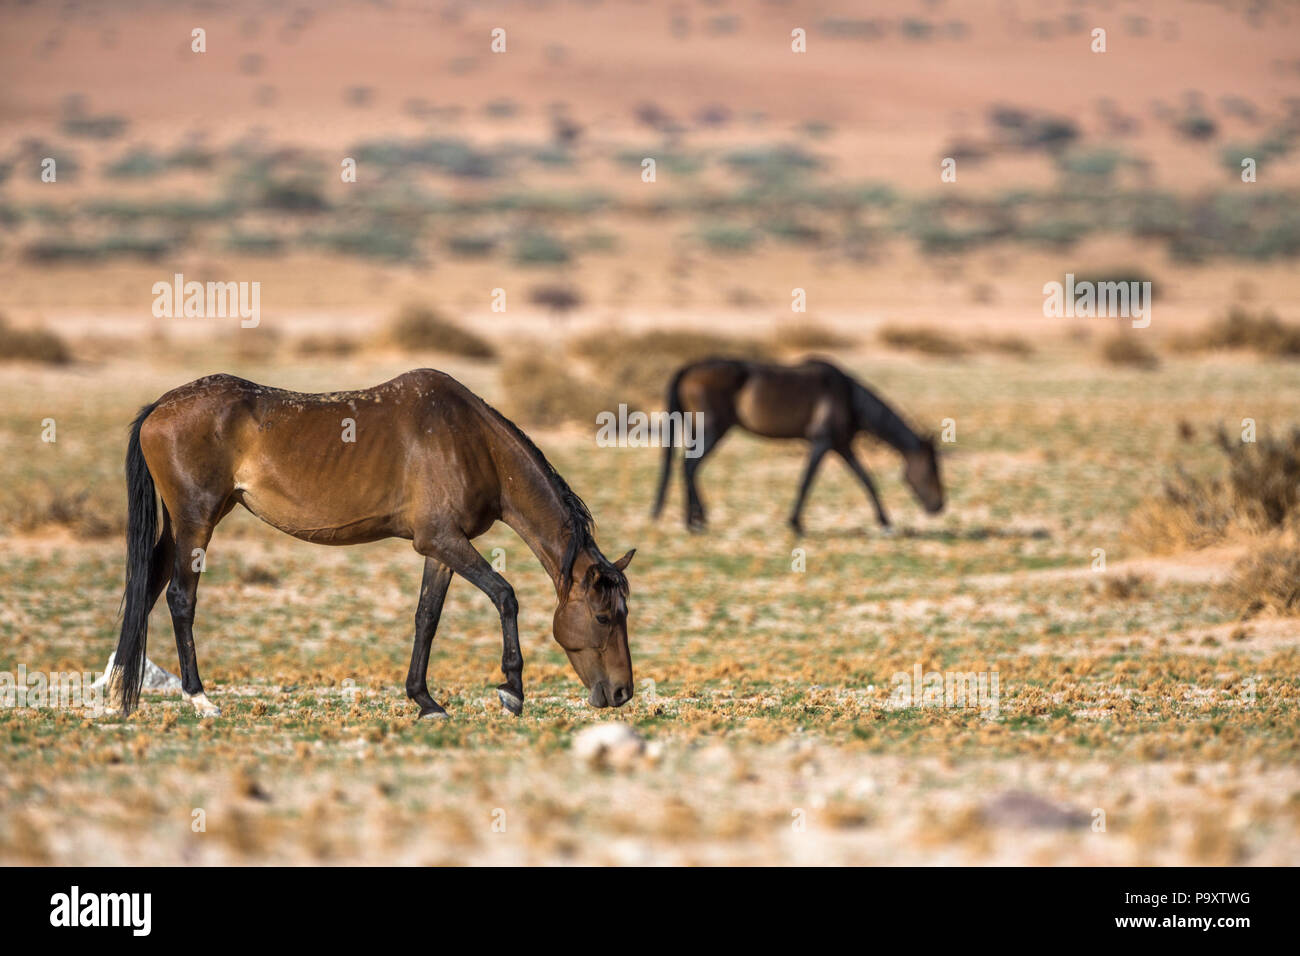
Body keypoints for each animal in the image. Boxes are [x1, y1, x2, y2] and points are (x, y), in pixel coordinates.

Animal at [114, 369, 631, 723]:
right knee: (180, 598)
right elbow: (505, 596)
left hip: (185, 524)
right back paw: (199, 698)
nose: (623, 693)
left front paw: (425, 700)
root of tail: (159, 406)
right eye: (604, 617)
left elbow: (427, 618)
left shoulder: (440, 549)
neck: (473, 442)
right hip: (196, 522)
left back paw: (118, 689)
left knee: (147, 586)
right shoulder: (444, 540)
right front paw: (512, 691)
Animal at [650, 358, 946, 535]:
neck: (849, 397)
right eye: (932, 469)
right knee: (690, 466)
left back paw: (693, 520)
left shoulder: (842, 445)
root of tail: (688, 369)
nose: (939, 506)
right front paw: (796, 523)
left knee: (687, 467)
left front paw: (885, 521)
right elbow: (807, 480)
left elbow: (866, 479)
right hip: (712, 432)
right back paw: (697, 520)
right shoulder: (823, 443)